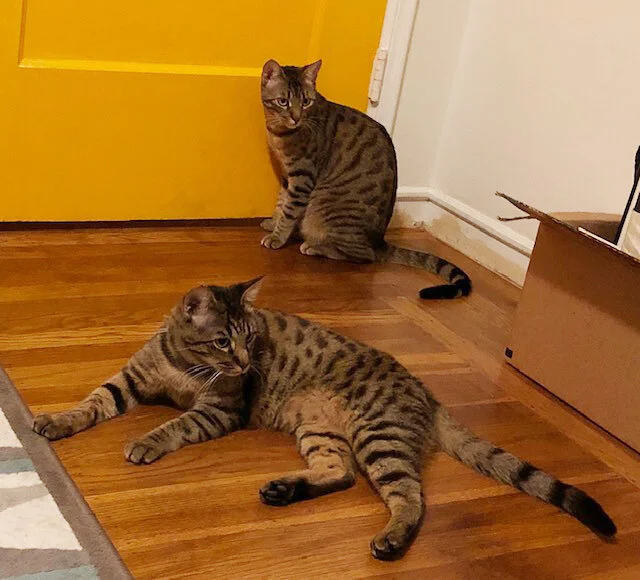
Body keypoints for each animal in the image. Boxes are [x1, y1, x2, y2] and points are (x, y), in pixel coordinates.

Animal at [33, 278, 616, 560]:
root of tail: (427, 394)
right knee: (340, 472)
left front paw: (145, 442)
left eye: (251, 339)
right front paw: (56, 421)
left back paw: (391, 539)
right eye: (224, 340)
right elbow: (92, 402)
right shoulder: (129, 381)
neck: (184, 365)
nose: (245, 363)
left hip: (377, 435)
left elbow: (171, 426)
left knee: (411, 498)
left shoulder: (218, 413)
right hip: (321, 432)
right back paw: (284, 490)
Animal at [260, 59, 471, 299]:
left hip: (326, 211)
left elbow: (289, 211)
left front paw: (278, 237)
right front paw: (272, 223)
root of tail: (380, 242)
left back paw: (315, 246)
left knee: (364, 255)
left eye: (305, 102)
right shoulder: (288, 175)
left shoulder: (303, 176)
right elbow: (281, 202)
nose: (296, 118)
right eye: (283, 101)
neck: (280, 133)